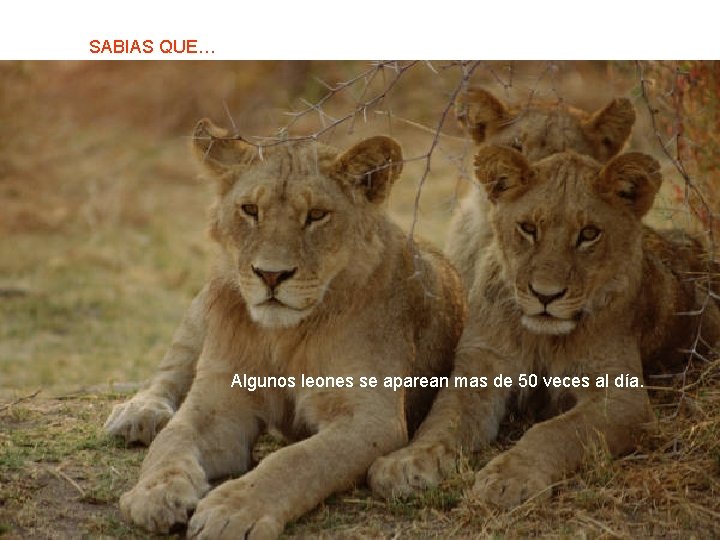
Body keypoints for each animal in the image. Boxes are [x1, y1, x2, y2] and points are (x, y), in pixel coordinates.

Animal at [115, 119, 466, 537]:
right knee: (171, 371)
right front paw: (155, 493)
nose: (270, 274)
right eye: (250, 210)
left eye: (316, 215)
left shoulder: (372, 418)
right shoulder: (218, 402)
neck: (282, 335)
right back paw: (139, 413)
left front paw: (233, 510)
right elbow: (173, 440)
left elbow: (297, 460)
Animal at [369, 146, 720, 508]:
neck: (542, 338)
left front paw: (511, 477)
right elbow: (443, 419)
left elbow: (555, 431)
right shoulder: (479, 367)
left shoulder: (623, 398)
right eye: (527, 228)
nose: (545, 295)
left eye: (589, 234)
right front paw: (406, 462)